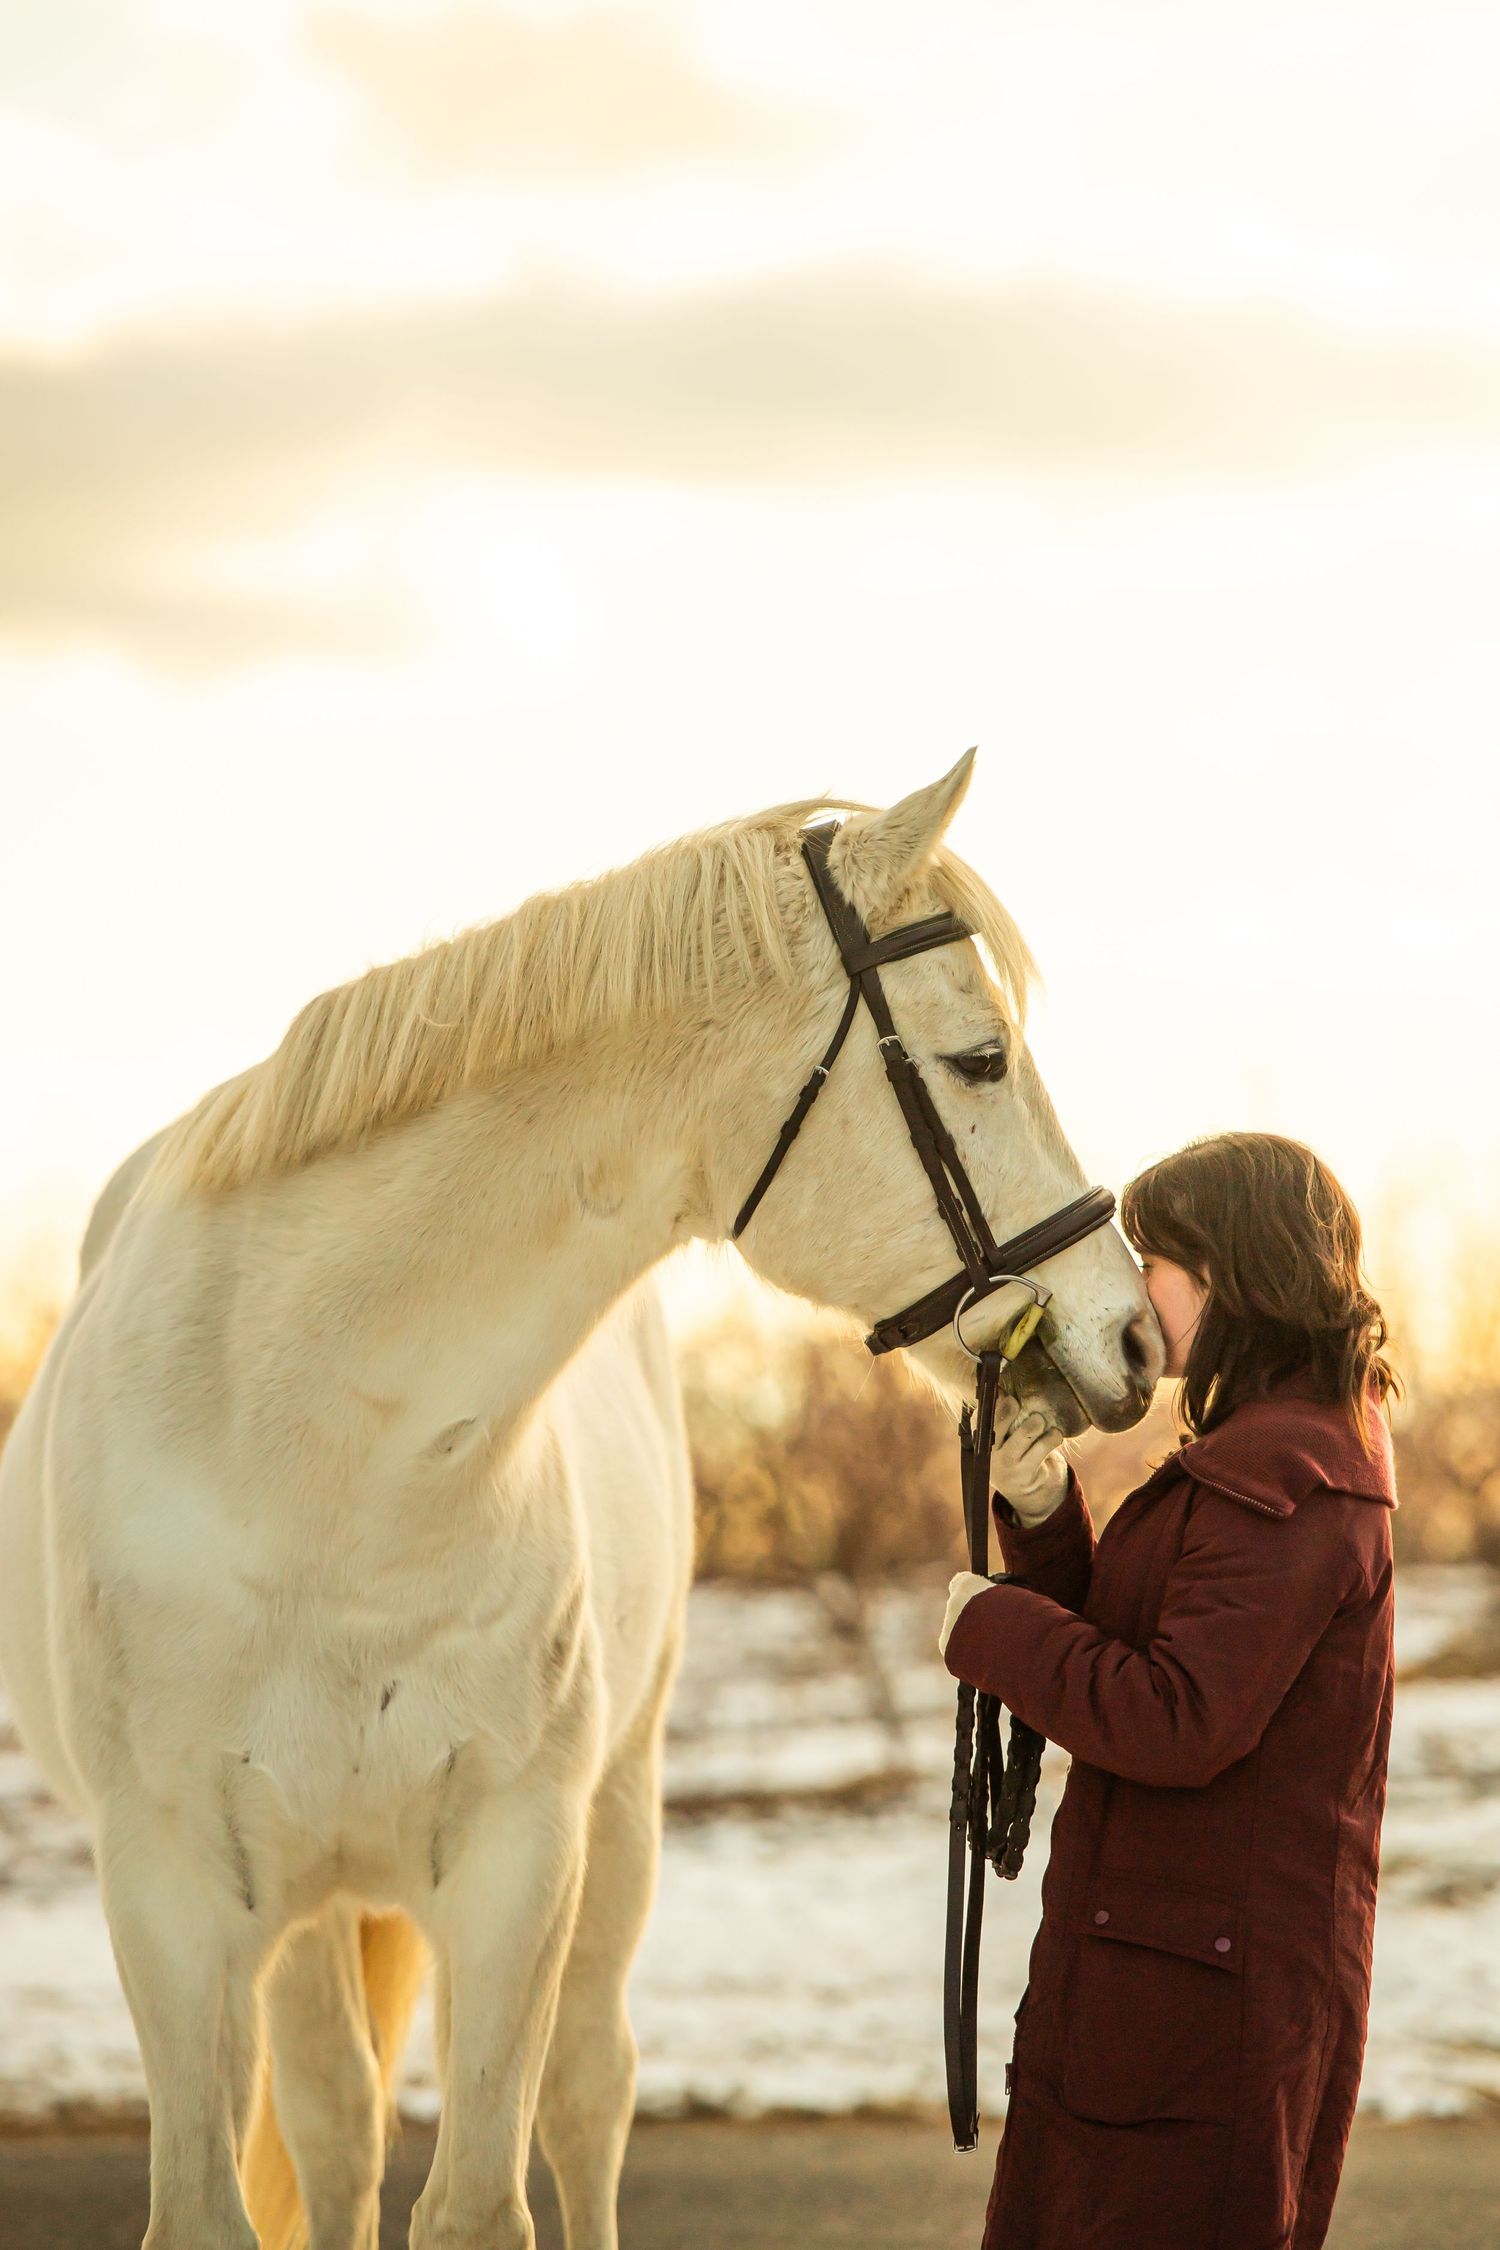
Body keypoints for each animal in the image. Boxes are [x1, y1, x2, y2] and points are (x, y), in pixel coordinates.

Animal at [0, 753, 1161, 2250]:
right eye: (979, 1059)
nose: (1133, 1336)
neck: (308, 1458)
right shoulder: (170, 1894)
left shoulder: (517, 1866)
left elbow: (485, 2199)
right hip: (308, 1903)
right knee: (337, 2126)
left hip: (612, 1816)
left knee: (586, 2091)